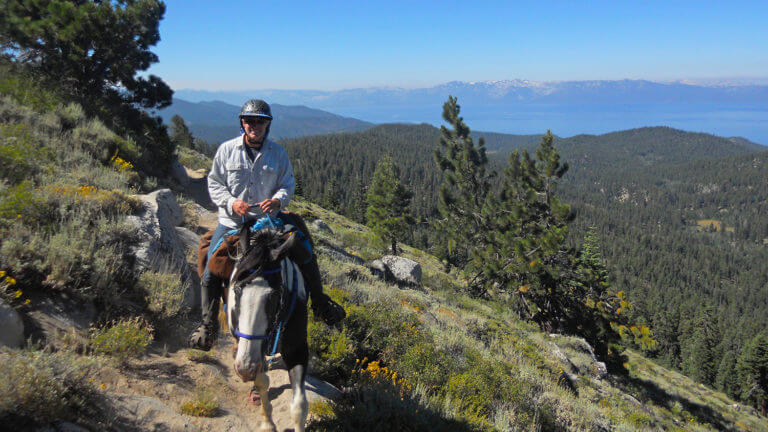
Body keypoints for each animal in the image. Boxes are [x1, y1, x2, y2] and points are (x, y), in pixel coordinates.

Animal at [226, 228, 310, 430]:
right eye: (237, 290)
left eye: (274, 295)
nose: (244, 368)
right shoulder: (254, 351)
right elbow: (262, 382)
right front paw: (268, 424)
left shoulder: (297, 350)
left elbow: (299, 406)